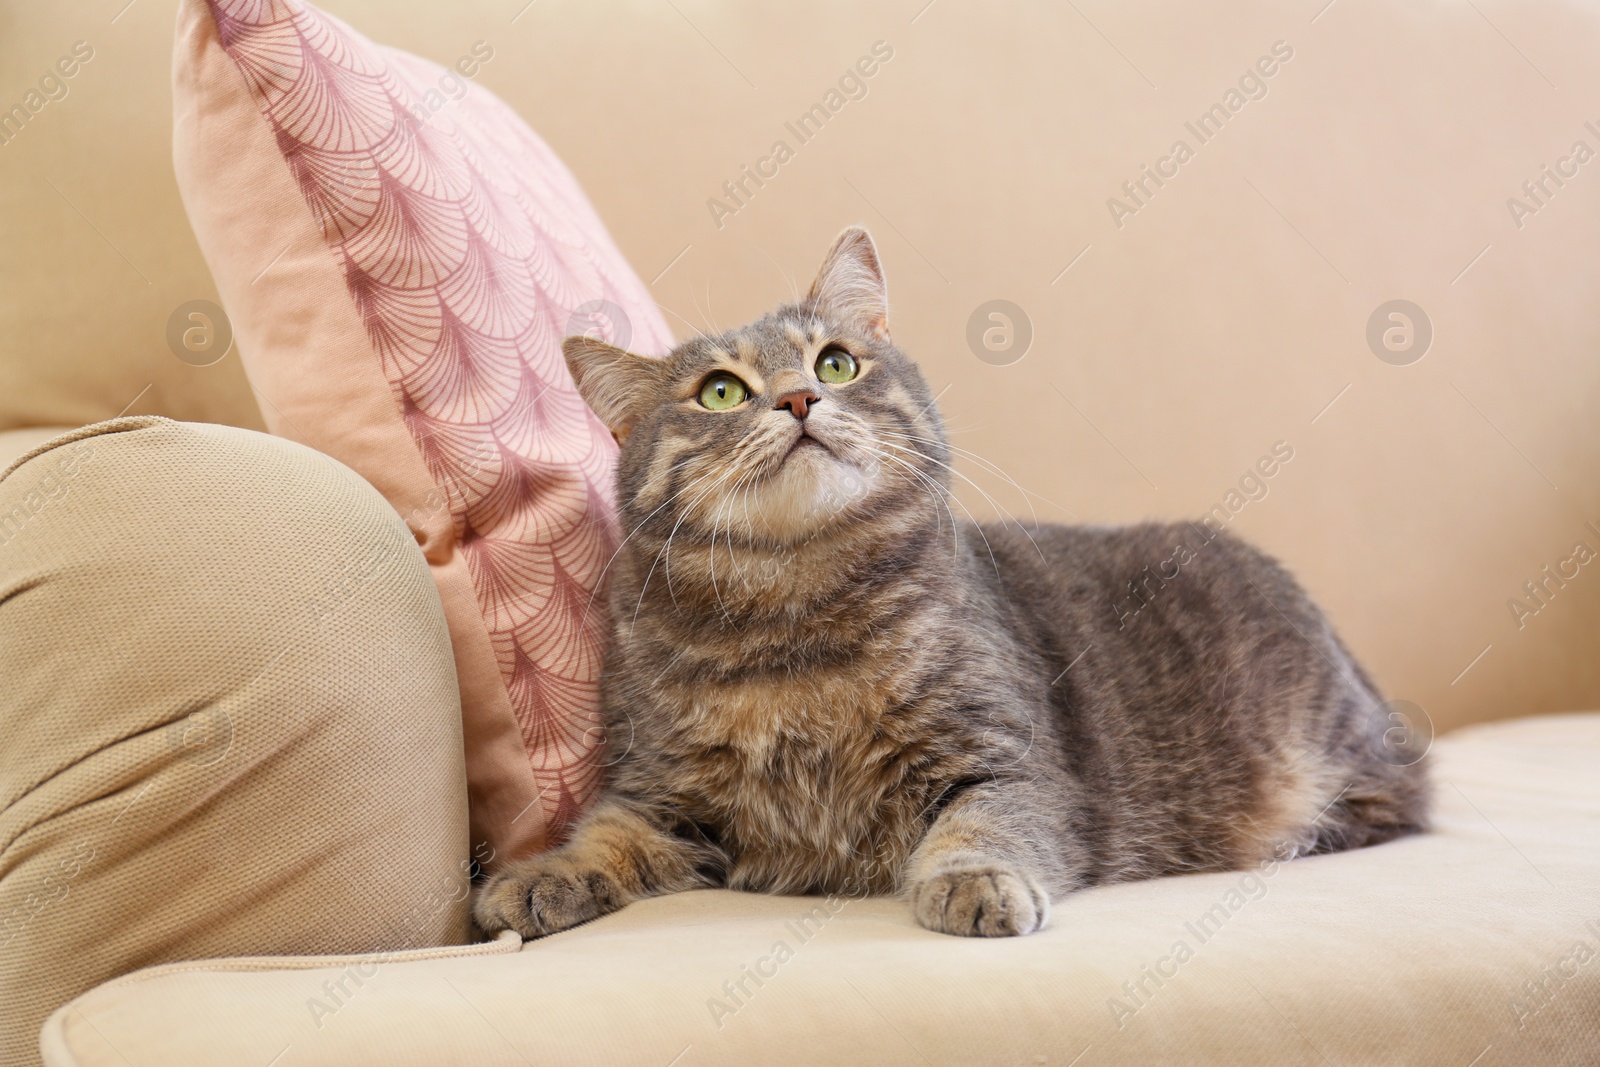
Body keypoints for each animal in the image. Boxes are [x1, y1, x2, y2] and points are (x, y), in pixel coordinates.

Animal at [470, 223, 1427, 934]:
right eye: (719, 392)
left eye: (836, 363)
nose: (798, 399)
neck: (797, 625)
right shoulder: (660, 789)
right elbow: (606, 831)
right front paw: (539, 874)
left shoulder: (1008, 758)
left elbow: (983, 824)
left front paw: (976, 881)